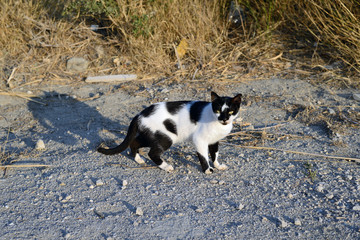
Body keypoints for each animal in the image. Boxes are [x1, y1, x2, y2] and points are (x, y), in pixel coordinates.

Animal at [97, 91, 242, 173]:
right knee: (152, 153)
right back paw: (166, 167)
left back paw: (138, 160)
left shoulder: (214, 140)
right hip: (166, 138)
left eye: (230, 111)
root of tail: (140, 114)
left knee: (134, 142)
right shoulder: (200, 140)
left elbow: (214, 154)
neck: (218, 125)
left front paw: (217, 166)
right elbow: (204, 156)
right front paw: (207, 170)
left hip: (152, 136)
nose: (224, 119)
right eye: (217, 110)